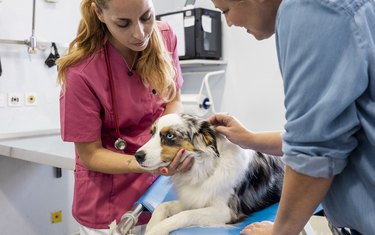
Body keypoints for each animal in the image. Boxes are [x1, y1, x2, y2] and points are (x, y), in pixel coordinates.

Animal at [135, 113, 284, 234]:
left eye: (170, 135)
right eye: (152, 133)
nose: (137, 156)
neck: (204, 169)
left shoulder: (225, 212)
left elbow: (185, 215)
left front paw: (156, 230)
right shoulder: (195, 198)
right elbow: (163, 206)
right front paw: (151, 225)